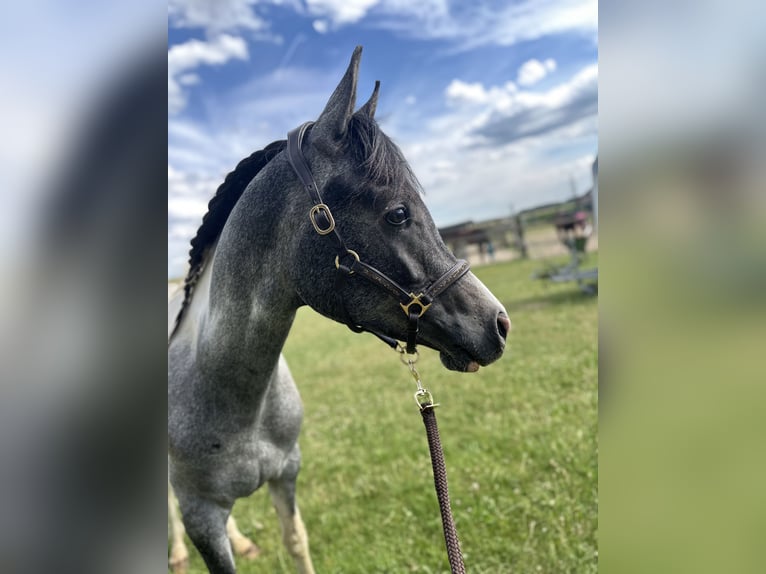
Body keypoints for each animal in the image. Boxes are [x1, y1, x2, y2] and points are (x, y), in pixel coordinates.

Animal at [168, 46, 510, 574]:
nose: (499, 323)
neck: (227, 390)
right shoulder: (200, 514)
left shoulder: (286, 476)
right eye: (398, 213)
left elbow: (296, 542)